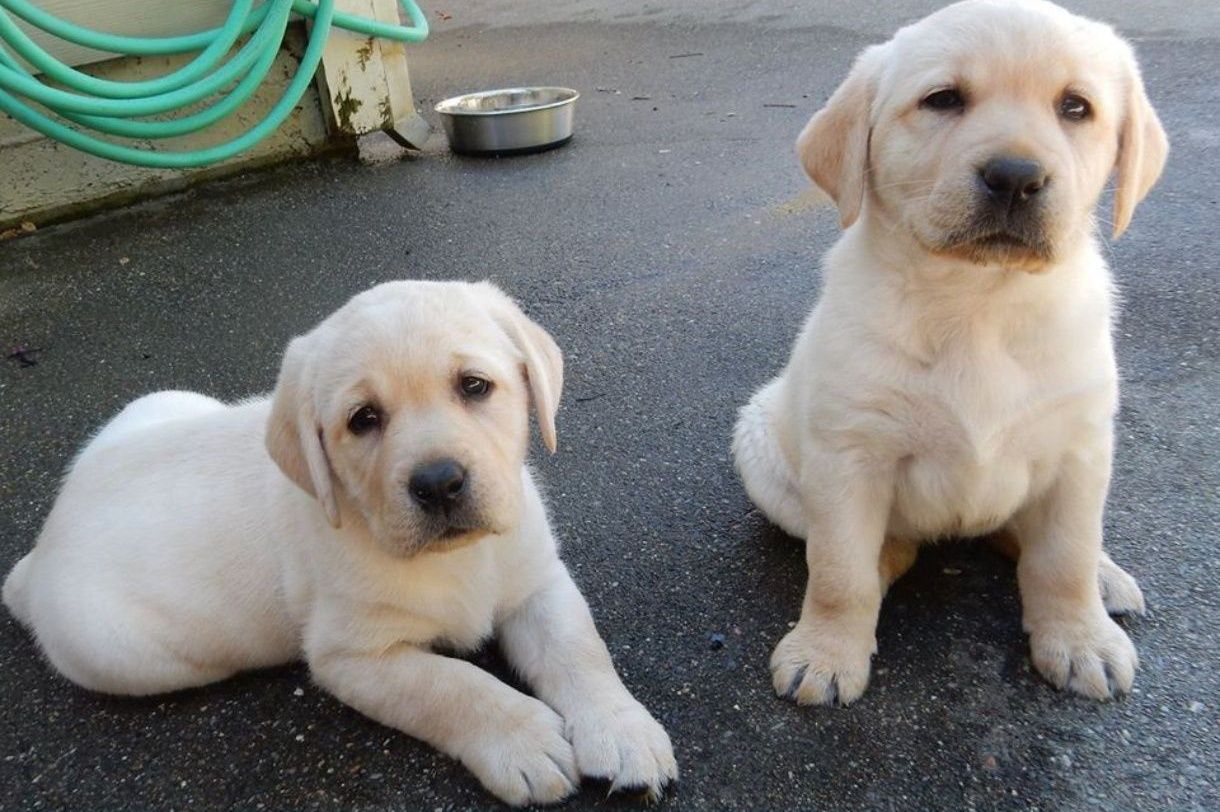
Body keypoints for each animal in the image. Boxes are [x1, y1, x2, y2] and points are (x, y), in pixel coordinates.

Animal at [2, 280, 678, 804]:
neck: (456, 558)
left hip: (160, 400)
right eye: (363, 420)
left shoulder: (538, 581)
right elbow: (452, 687)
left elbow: (580, 649)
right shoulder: (352, 657)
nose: (439, 482)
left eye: (474, 386)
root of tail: (44, 545)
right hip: (121, 652)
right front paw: (524, 739)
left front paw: (623, 731)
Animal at [727, 0, 1166, 702]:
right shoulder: (850, 454)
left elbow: (1063, 558)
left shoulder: (1081, 447)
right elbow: (839, 570)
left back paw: (1105, 580)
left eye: (1075, 107)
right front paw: (825, 651)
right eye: (943, 99)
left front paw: (1079, 639)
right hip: (765, 451)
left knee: (1035, 541)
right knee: (874, 547)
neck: (978, 301)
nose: (1016, 177)